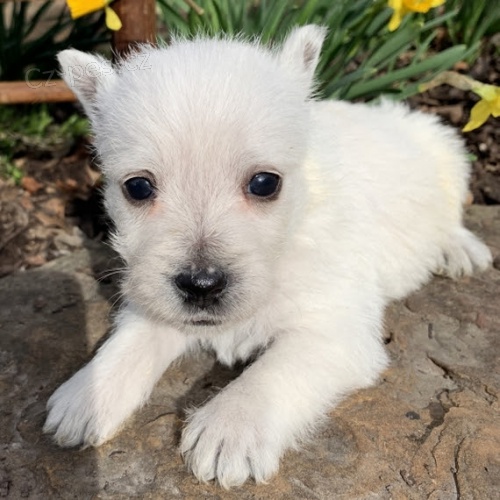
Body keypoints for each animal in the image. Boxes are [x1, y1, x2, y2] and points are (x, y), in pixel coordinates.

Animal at [44, 25, 492, 486]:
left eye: (264, 183)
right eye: (137, 187)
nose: (201, 286)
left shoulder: (335, 328)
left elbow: (273, 371)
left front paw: (228, 429)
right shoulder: (156, 295)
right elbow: (132, 340)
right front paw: (88, 393)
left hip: (447, 151)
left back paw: (460, 249)